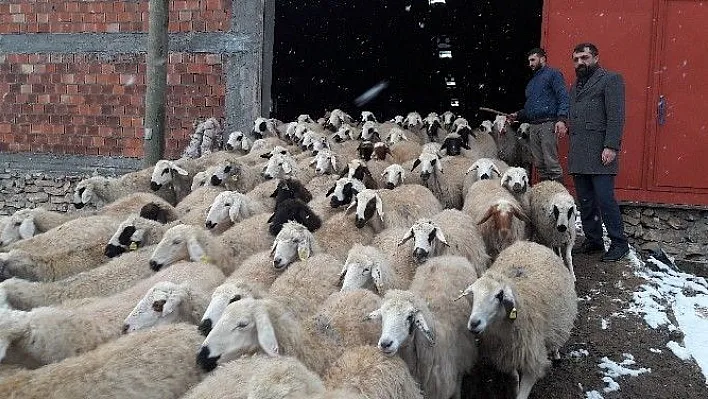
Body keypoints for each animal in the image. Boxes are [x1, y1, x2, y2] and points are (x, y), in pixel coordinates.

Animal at [460, 241, 580, 399]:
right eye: (473, 294)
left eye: (499, 295)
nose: (474, 323)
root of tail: (529, 243)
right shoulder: (507, 354)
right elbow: (514, 377)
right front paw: (515, 388)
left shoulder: (533, 360)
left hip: (560, 317)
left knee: (556, 337)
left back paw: (555, 352)